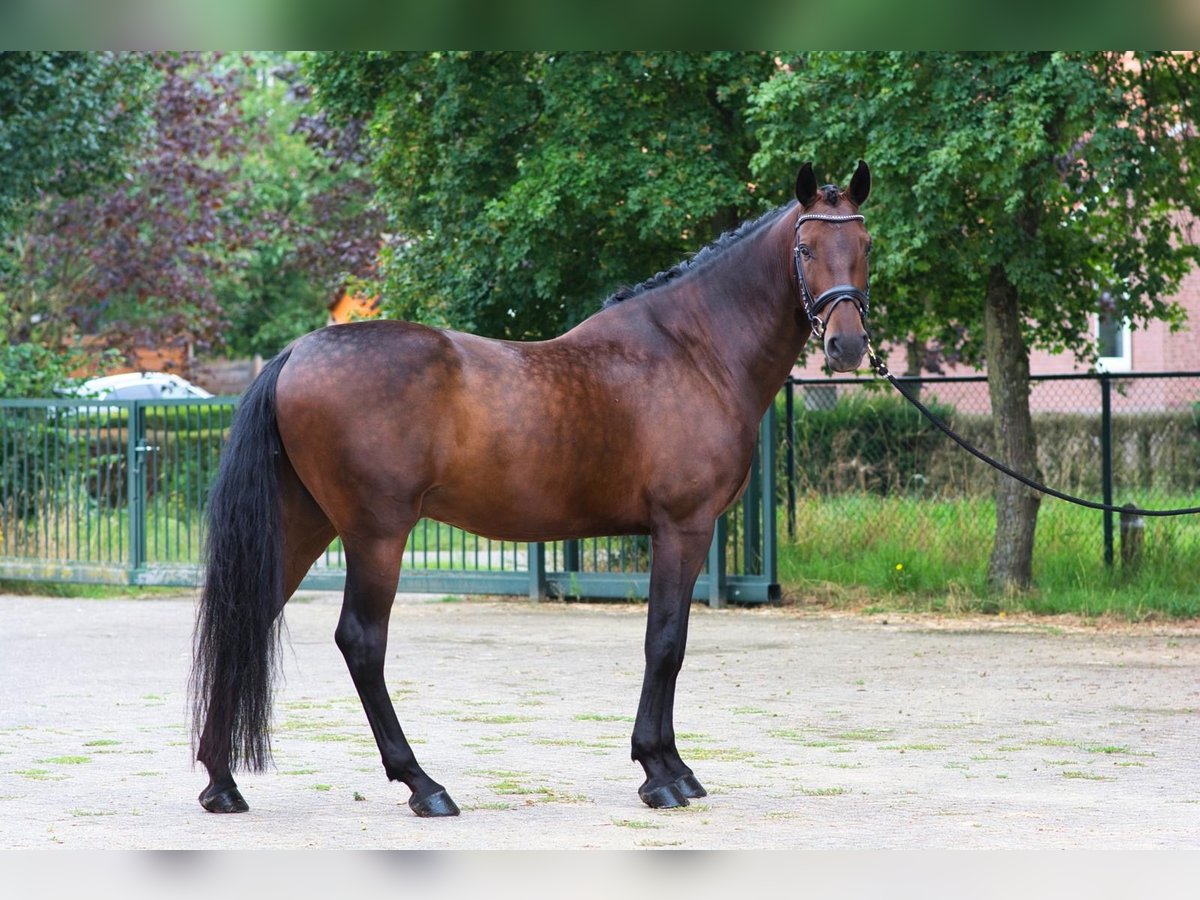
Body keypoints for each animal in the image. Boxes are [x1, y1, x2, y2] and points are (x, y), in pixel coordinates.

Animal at [192, 160, 878, 816]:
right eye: (806, 247)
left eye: (865, 243)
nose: (846, 344)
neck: (695, 351)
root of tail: (295, 355)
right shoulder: (682, 527)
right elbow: (664, 642)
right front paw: (659, 774)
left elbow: (671, 640)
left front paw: (675, 767)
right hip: (376, 534)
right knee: (360, 642)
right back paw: (422, 785)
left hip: (305, 524)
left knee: (250, 616)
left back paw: (222, 783)